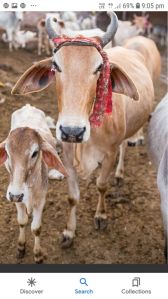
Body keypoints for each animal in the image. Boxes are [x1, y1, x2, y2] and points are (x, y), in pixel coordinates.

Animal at [0, 105, 67, 262]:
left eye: (35, 153)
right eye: (7, 152)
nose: (15, 194)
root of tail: (28, 106)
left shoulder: (40, 200)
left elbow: (36, 228)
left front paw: (37, 254)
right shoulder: (17, 200)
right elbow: (22, 221)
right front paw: (21, 247)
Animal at [11, 12, 154, 248]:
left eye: (99, 67)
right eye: (56, 65)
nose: (72, 131)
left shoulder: (109, 153)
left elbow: (102, 185)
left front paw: (101, 216)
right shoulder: (67, 158)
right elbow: (73, 197)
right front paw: (69, 231)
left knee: (125, 146)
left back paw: (120, 173)